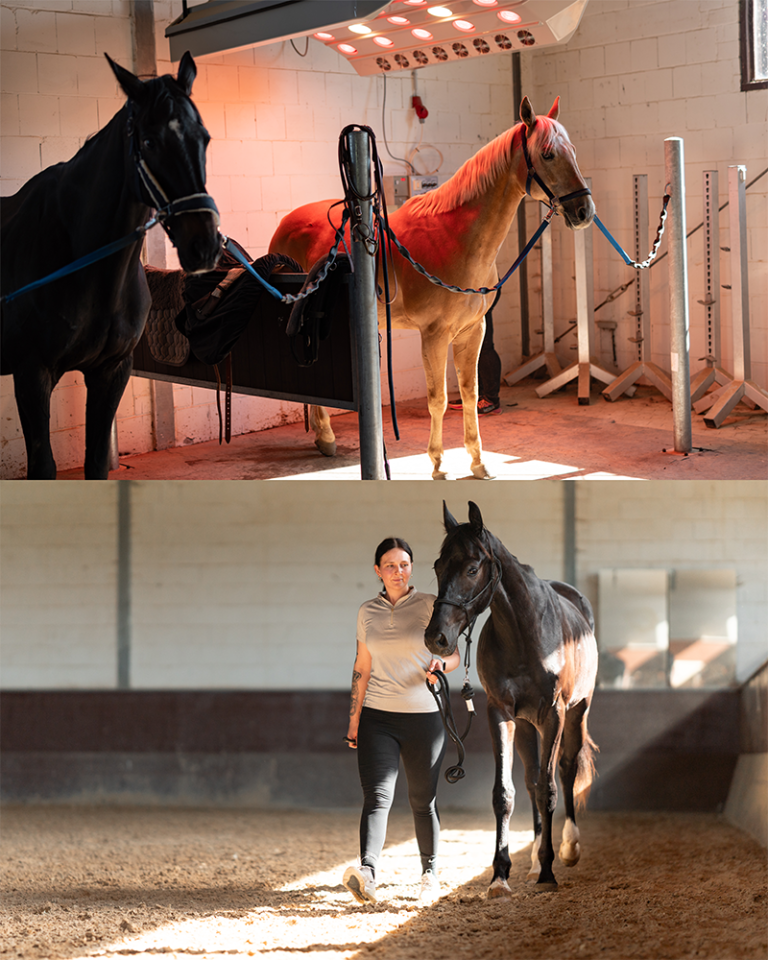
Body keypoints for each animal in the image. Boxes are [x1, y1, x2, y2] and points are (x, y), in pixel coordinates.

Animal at [0, 52, 221, 479]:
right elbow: (43, 465)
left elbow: (97, 461)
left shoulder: (111, 371)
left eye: (204, 137)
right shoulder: (31, 373)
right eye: (149, 141)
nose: (203, 245)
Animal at [268, 97, 594, 480]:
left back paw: (324, 438)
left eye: (573, 152)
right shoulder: (434, 335)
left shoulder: (472, 332)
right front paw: (438, 463)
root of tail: (286, 223)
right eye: (547, 154)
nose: (584, 211)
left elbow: (469, 393)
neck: (456, 238)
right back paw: (327, 438)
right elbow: (437, 399)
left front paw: (478, 461)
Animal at [424, 501, 598, 894]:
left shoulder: (554, 713)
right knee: (531, 778)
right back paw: (532, 861)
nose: (436, 637)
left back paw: (569, 848)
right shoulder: (500, 713)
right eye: (438, 566)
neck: (524, 632)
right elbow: (505, 793)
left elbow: (550, 787)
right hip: (526, 724)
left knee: (565, 770)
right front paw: (500, 875)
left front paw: (549, 870)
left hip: (576, 713)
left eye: (472, 568)